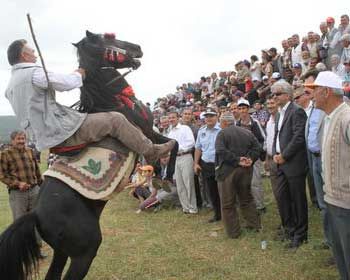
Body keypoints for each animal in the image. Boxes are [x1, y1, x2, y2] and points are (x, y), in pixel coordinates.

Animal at [0, 31, 178, 280]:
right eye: (108, 38)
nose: (137, 48)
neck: (113, 100)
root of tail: (35, 214)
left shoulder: (152, 133)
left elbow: (174, 145)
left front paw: (162, 178)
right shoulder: (147, 133)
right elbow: (169, 147)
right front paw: (165, 178)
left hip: (62, 252)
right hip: (85, 252)